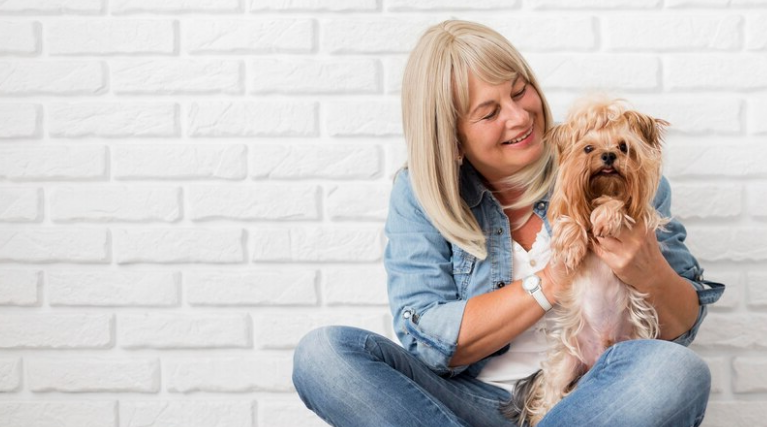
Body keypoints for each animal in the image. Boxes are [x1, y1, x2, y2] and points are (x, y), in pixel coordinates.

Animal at [504, 97, 672, 427]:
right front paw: (571, 244)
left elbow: (618, 204)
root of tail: (597, 358)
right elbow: (570, 220)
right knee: (550, 396)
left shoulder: (640, 215)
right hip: (567, 362)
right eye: (588, 148)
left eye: (623, 146)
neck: (603, 187)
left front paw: (606, 215)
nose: (608, 156)